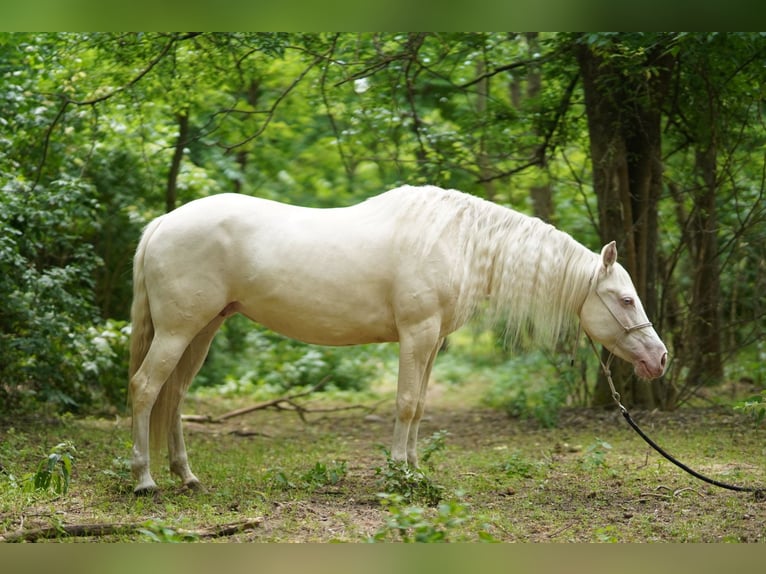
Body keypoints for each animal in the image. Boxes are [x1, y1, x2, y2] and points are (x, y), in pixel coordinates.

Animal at [128, 185, 668, 494]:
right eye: (625, 300)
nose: (660, 358)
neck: (457, 241)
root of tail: (162, 223)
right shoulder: (417, 333)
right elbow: (406, 404)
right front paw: (399, 475)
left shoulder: (433, 342)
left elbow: (420, 405)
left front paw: (414, 469)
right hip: (178, 331)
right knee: (145, 389)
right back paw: (145, 480)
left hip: (203, 329)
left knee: (174, 397)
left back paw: (186, 476)